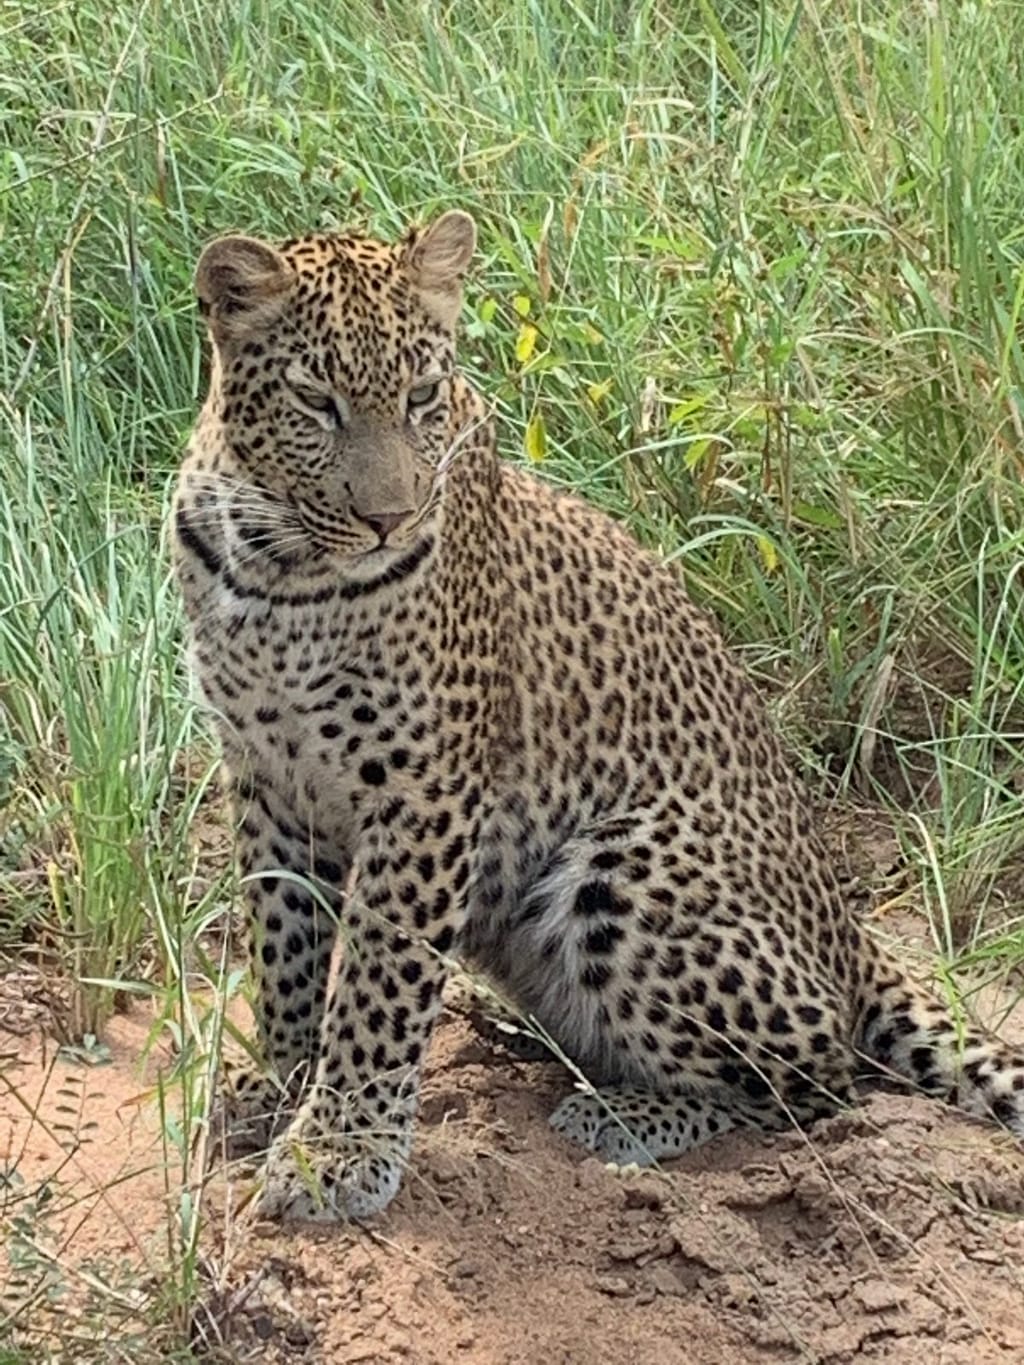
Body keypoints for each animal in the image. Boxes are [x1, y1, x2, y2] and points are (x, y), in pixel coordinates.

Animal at [173, 208, 1024, 1223]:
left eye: (422, 394)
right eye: (315, 400)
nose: (390, 518)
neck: (279, 572)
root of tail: (850, 936)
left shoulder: (421, 790)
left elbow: (379, 981)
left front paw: (339, 1151)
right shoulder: (266, 776)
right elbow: (285, 945)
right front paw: (281, 1084)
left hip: (625, 866)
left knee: (817, 1080)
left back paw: (620, 1115)